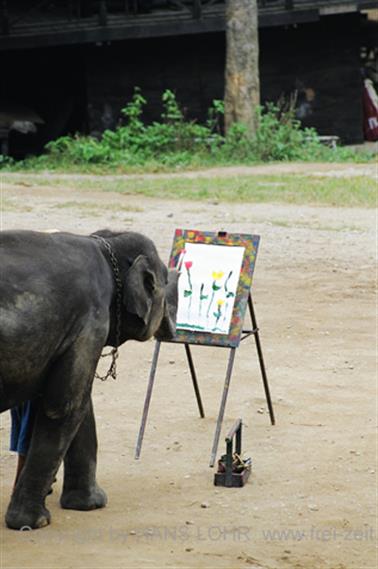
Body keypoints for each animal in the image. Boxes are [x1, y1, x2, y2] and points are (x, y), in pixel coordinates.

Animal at [0, 229, 179, 532]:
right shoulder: (90, 322)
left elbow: (78, 404)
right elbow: (65, 406)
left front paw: (90, 504)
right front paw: (34, 522)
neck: (105, 246)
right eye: (165, 281)